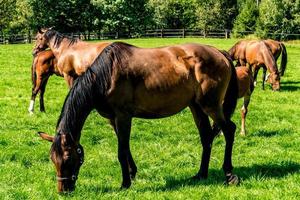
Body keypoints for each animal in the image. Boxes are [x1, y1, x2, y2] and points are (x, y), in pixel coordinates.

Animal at [35, 38, 240, 191]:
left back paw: (229, 174)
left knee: (229, 130)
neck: (106, 74)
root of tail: (219, 53)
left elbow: (121, 150)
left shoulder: (123, 117)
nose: (64, 190)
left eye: (68, 158)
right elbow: (125, 148)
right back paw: (201, 174)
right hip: (196, 106)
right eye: (52, 159)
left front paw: (125, 183)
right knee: (206, 137)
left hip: (211, 106)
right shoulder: (113, 119)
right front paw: (132, 173)